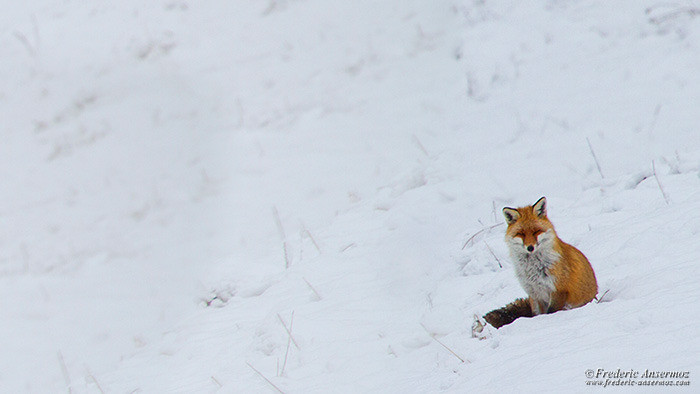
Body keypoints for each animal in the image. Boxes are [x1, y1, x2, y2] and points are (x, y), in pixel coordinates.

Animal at [484, 197, 600, 330]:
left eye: (536, 231)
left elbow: (551, 312)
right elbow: (537, 314)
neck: (532, 269)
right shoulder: (535, 294)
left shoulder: (558, 290)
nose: (530, 248)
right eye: (521, 233)